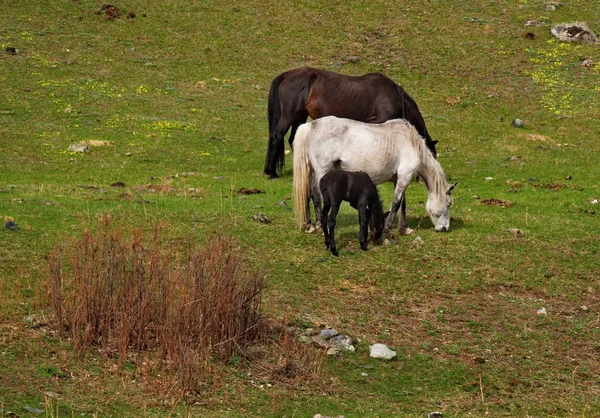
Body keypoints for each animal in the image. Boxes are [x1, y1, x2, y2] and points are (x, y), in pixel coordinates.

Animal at [262, 66, 436, 178]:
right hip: (289, 115)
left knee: (293, 139)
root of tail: (286, 75)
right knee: (277, 136)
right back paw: (271, 172)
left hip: (300, 117)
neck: (394, 95)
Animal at [292, 116, 458, 237]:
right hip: (323, 171)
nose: (445, 228)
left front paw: (404, 229)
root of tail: (311, 125)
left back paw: (317, 226)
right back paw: (323, 227)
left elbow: (402, 205)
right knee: (319, 197)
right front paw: (388, 230)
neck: (411, 143)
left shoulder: (399, 179)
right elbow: (396, 204)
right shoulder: (405, 177)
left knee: (314, 195)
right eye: (449, 204)